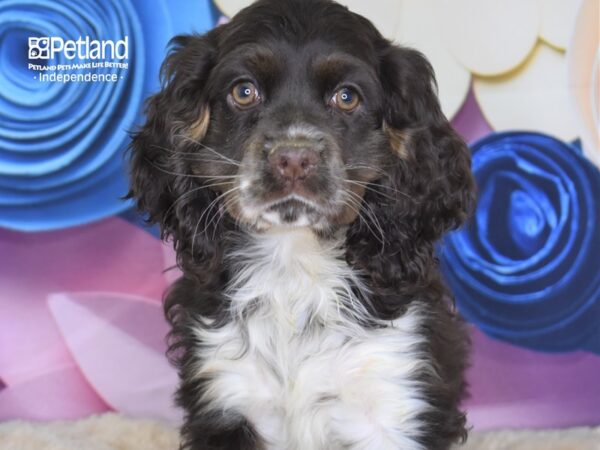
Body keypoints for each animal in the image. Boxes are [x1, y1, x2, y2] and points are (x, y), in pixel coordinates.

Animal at [126, 0, 474, 450]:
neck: (292, 266)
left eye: (347, 97)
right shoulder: (226, 393)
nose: (293, 158)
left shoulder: (393, 397)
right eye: (243, 91)